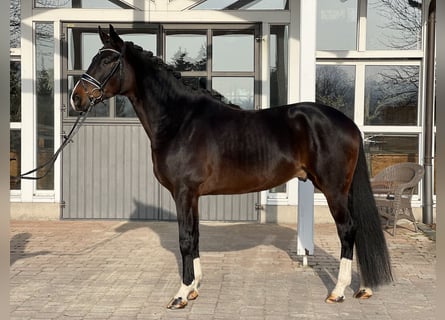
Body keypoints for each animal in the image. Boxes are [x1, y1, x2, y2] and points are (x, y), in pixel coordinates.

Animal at [70, 25, 392, 310]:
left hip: (334, 189)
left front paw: (181, 294)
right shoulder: (192, 196)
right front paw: (194, 287)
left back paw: (338, 291)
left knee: (347, 230)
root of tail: (349, 124)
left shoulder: (183, 192)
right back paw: (362, 287)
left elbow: (185, 239)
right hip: (344, 190)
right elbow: (195, 236)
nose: (76, 98)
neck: (180, 120)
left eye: (108, 60)